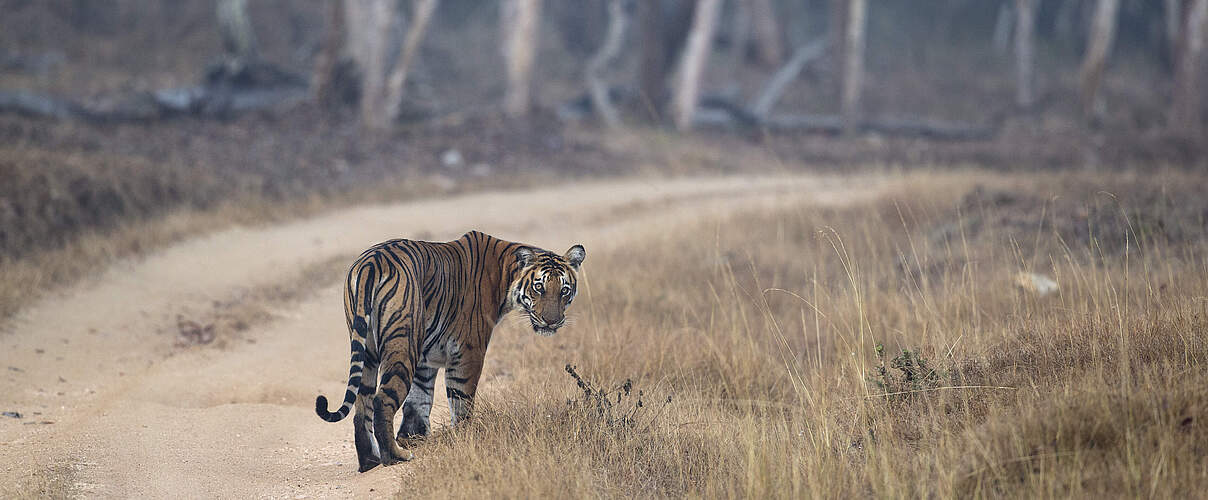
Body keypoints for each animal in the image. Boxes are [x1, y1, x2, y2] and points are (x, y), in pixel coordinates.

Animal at [315, 230, 585, 472]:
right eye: (539, 287)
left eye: (564, 290)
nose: (551, 322)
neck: (504, 275)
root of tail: (371, 262)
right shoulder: (468, 352)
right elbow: (461, 400)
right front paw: (465, 439)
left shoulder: (426, 360)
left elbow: (419, 399)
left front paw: (413, 438)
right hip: (402, 344)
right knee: (382, 400)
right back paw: (395, 457)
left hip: (367, 350)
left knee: (362, 406)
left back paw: (369, 461)